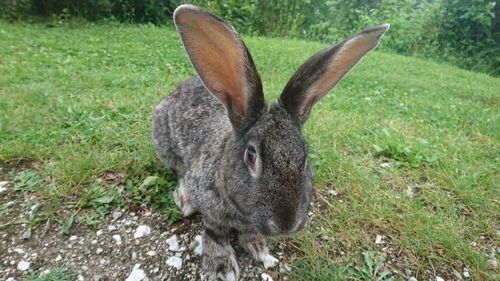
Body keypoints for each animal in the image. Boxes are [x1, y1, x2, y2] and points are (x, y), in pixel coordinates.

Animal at [154, 4, 388, 280]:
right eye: (251, 156)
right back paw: (184, 198)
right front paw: (221, 268)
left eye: (305, 156)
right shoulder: (211, 212)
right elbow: (215, 236)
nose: (287, 223)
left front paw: (259, 248)